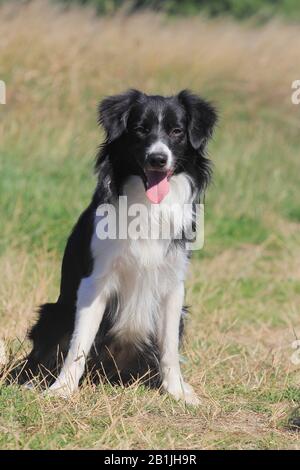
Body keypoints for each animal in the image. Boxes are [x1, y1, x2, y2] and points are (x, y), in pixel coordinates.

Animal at [14, 90, 217, 406]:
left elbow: (169, 348)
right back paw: (32, 382)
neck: (147, 205)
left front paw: (178, 392)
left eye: (177, 132)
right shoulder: (94, 281)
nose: (158, 158)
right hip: (53, 312)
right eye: (140, 129)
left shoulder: (173, 283)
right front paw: (62, 389)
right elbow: (79, 343)